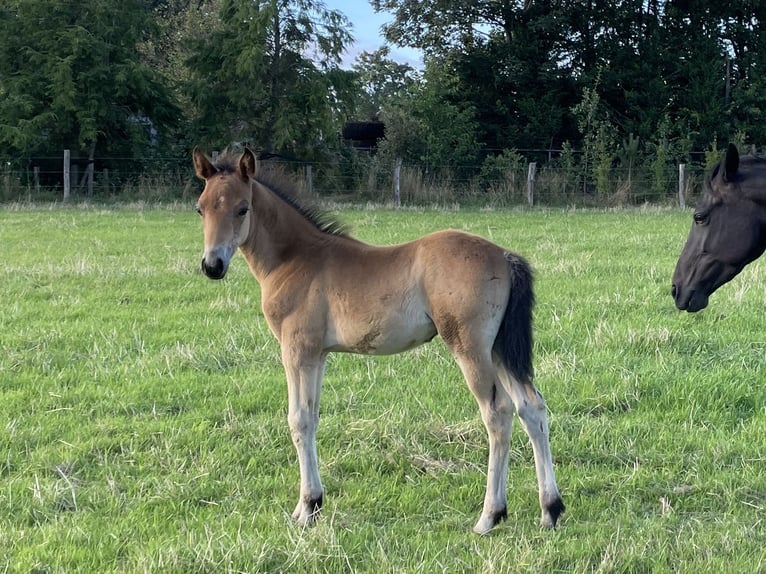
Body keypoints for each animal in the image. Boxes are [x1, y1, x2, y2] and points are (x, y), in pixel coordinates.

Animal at [192, 147, 564, 536]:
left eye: (242, 208)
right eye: (200, 208)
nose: (212, 265)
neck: (295, 259)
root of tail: (505, 256)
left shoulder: (296, 349)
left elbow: (299, 420)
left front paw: (306, 507)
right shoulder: (318, 354)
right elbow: (313, 416)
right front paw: (315, 503)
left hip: (470, 348)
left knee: (498, 413)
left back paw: (490, 515)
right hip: (498, 349)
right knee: (531, 407)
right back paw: (550, 510)